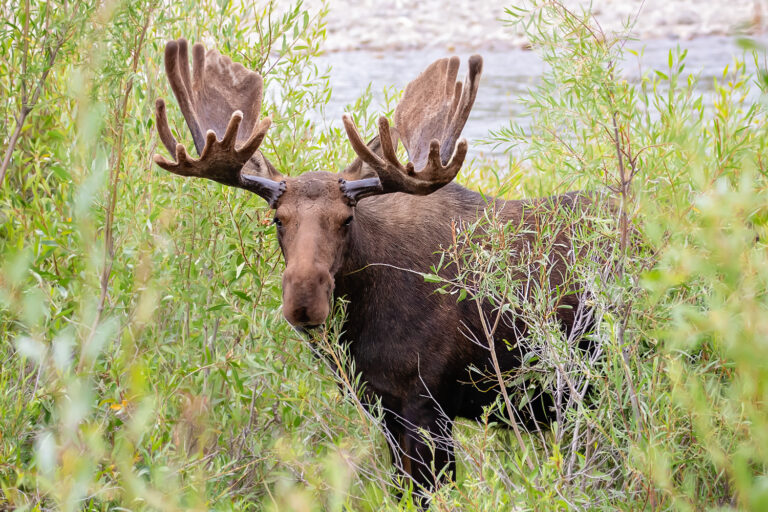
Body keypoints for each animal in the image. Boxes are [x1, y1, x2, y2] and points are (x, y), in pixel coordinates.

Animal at [153, 38, 596, 498]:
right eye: (278, 219)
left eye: (347, 219)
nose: (304, 299)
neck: (362, 324)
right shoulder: (383, 405)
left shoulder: (427, 403)